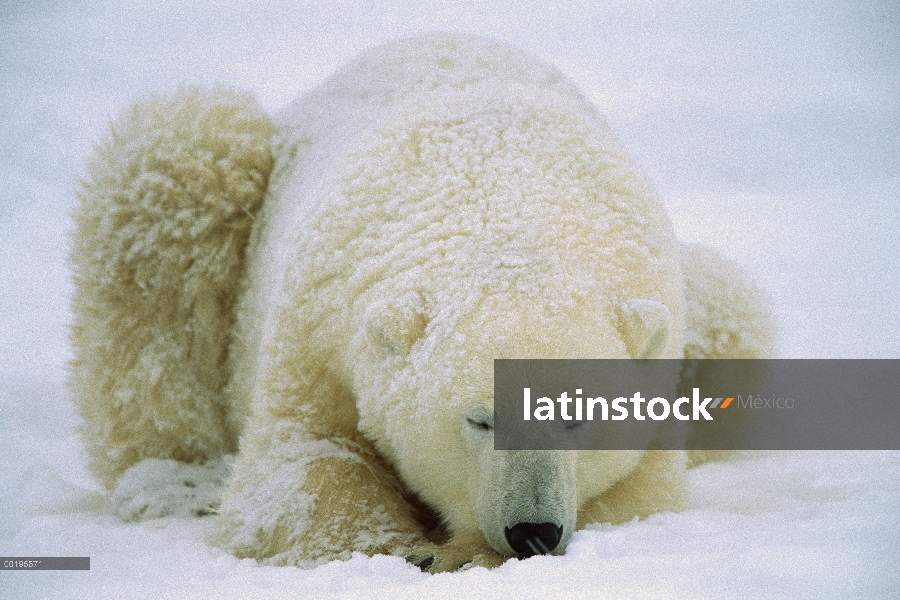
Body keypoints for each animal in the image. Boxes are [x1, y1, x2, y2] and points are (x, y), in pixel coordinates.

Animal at [70, 34, 772, 572]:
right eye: (481, 419)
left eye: (579, 416)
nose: (533, 531)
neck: (508, 203)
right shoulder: (319, 325)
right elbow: (303, 461)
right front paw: (407, 547)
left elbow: (640, 491)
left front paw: (461, 548)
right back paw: (173, 482)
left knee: (734, 313)